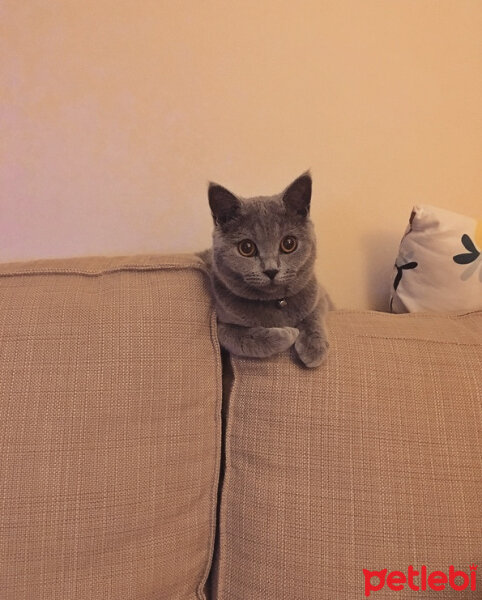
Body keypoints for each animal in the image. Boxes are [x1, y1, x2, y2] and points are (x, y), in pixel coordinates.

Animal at [199, 171, 332, 368]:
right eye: (246, 247)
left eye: (289, 244)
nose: (271, 270)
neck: (276, 303)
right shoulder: (220, 326)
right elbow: (244, 337)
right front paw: (288, 334)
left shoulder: (320, 295)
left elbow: (313, 315)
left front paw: (314, 349)